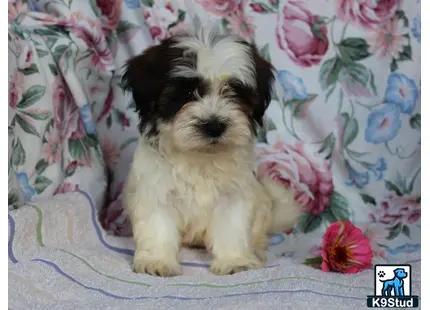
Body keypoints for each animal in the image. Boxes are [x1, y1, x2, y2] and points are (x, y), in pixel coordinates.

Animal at [121, 24, 302, 276]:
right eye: (187, 93)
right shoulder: (156, 189)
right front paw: (157, 261)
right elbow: (158, 226)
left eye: (234, 92)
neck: (200, 156)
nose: (214, 125)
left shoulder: (234, 194)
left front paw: (235, 260)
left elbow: (232, 227)